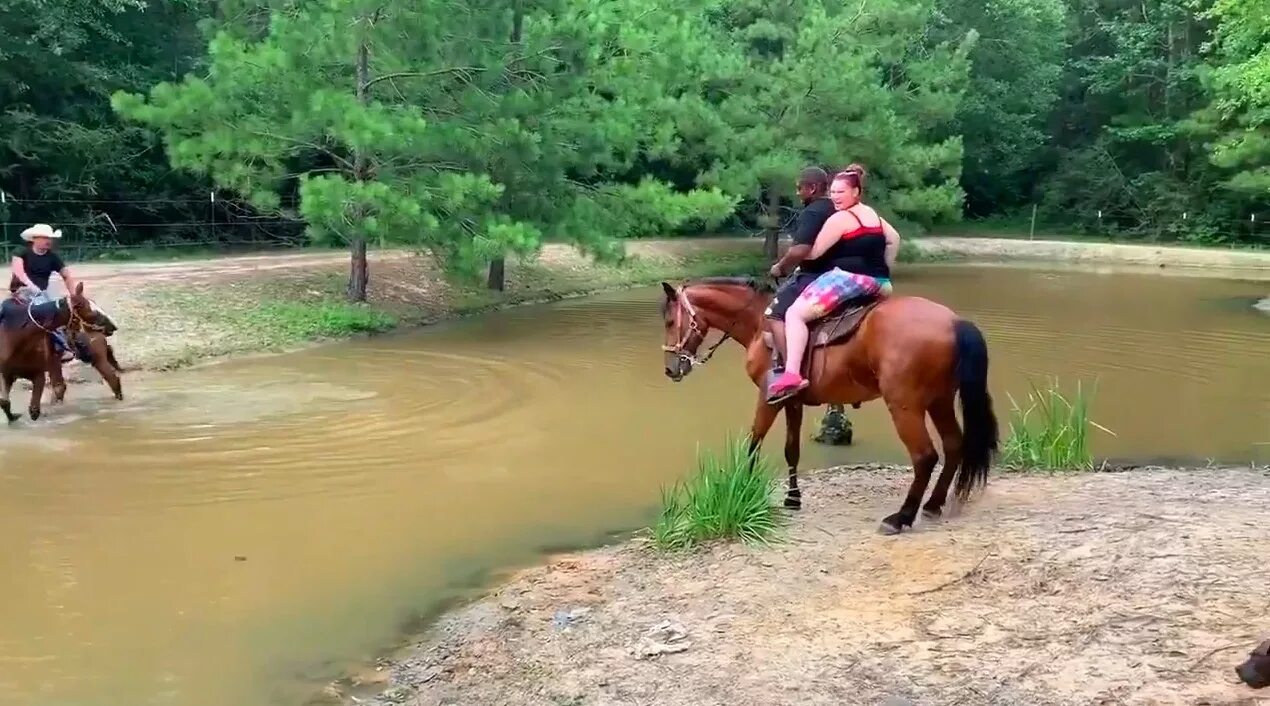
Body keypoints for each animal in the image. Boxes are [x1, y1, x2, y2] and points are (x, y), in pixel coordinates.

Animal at [0, 283, 120, 424]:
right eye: (87, 308)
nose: (112, 326)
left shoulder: (38, 375)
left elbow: (34, 410)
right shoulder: (6, 374)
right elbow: (4, 402)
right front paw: (14, 418)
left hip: (96, 358)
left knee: (112, 379)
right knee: (60, 387)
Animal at [660, 275, 995, 535]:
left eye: (669, 321)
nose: (670, 369)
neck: (758, 323)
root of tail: (954, 321)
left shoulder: (768, 399)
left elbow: (753, 443)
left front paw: (743, 487)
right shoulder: (793, 402)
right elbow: (791, 450)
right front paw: (793, 499)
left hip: (905, 405)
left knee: (925, 456)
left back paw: (901, 517)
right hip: (940, 400)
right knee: (953, 445)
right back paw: (934, 504)